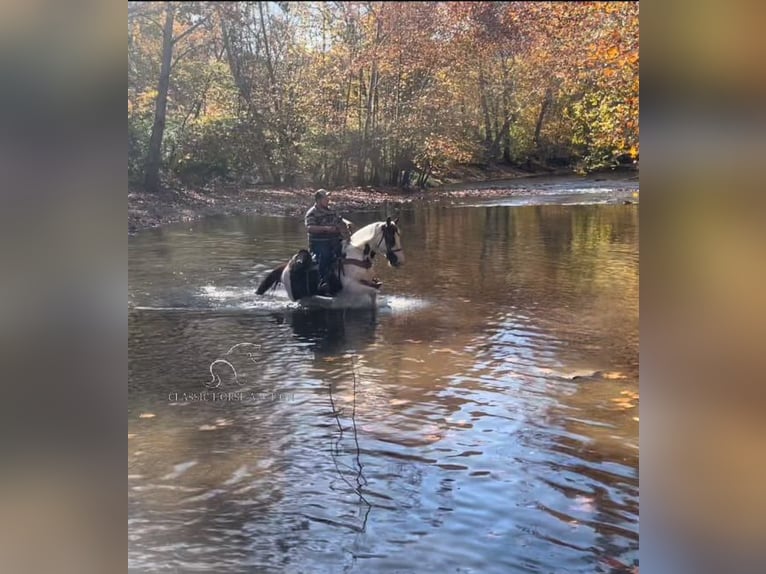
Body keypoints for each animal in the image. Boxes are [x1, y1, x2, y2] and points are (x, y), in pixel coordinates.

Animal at [256, 216, 404, 308]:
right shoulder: (351, 287)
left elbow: (375, 291)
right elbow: (373, 291)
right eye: (391, 238)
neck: (357, 254)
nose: (399, 261)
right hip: (299, 296)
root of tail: (285, 268)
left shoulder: (367, 282)